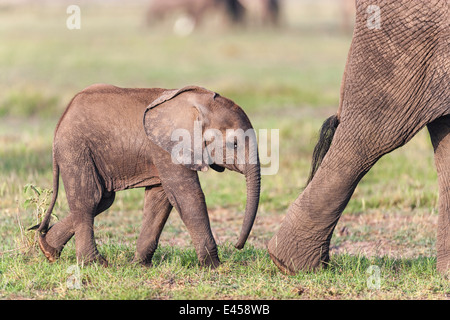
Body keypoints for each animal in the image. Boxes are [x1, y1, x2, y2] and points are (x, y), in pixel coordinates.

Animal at [32, 84, 260, 268]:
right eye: (234, 144)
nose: (237, 245)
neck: (197, 103)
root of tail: (62, 118)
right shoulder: (167, 147)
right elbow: (187, 196)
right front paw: (214, 266)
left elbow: (160, 200)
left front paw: (139, 265)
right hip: (76, 148)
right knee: (90, 199)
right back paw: (94, 264)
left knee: (103, 199)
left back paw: (48, 250)